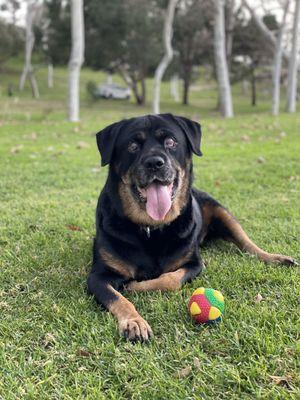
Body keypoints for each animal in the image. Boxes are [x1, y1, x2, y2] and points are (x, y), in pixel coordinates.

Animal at [87, 114, 298, 342]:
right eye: (132, 146)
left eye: (171, 142)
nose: (154, 163)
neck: (151, 230)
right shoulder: (98, 277)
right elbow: (118, 298)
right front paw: (134, 322)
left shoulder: (194, 263)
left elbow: (170, 280)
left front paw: (136, 287)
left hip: (221, 211)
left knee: (248, 244)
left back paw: (276, 258)